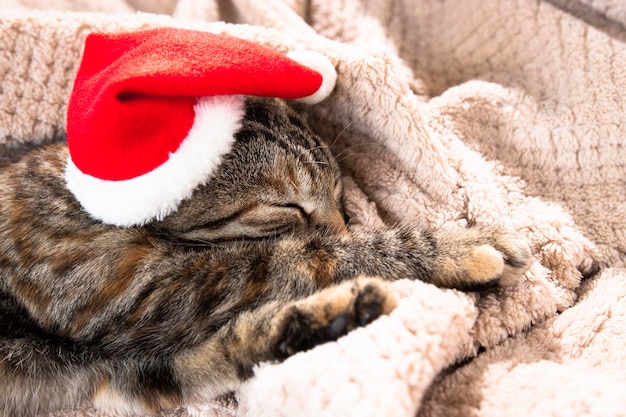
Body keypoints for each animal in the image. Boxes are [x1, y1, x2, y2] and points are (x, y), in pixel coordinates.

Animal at [0, 96, 528, 412]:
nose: (342, 223)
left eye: (339, 194)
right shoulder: (147, 287)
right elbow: (312, 254)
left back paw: (334, 317)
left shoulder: (126, 363)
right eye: (287, 206)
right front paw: (452, 247)